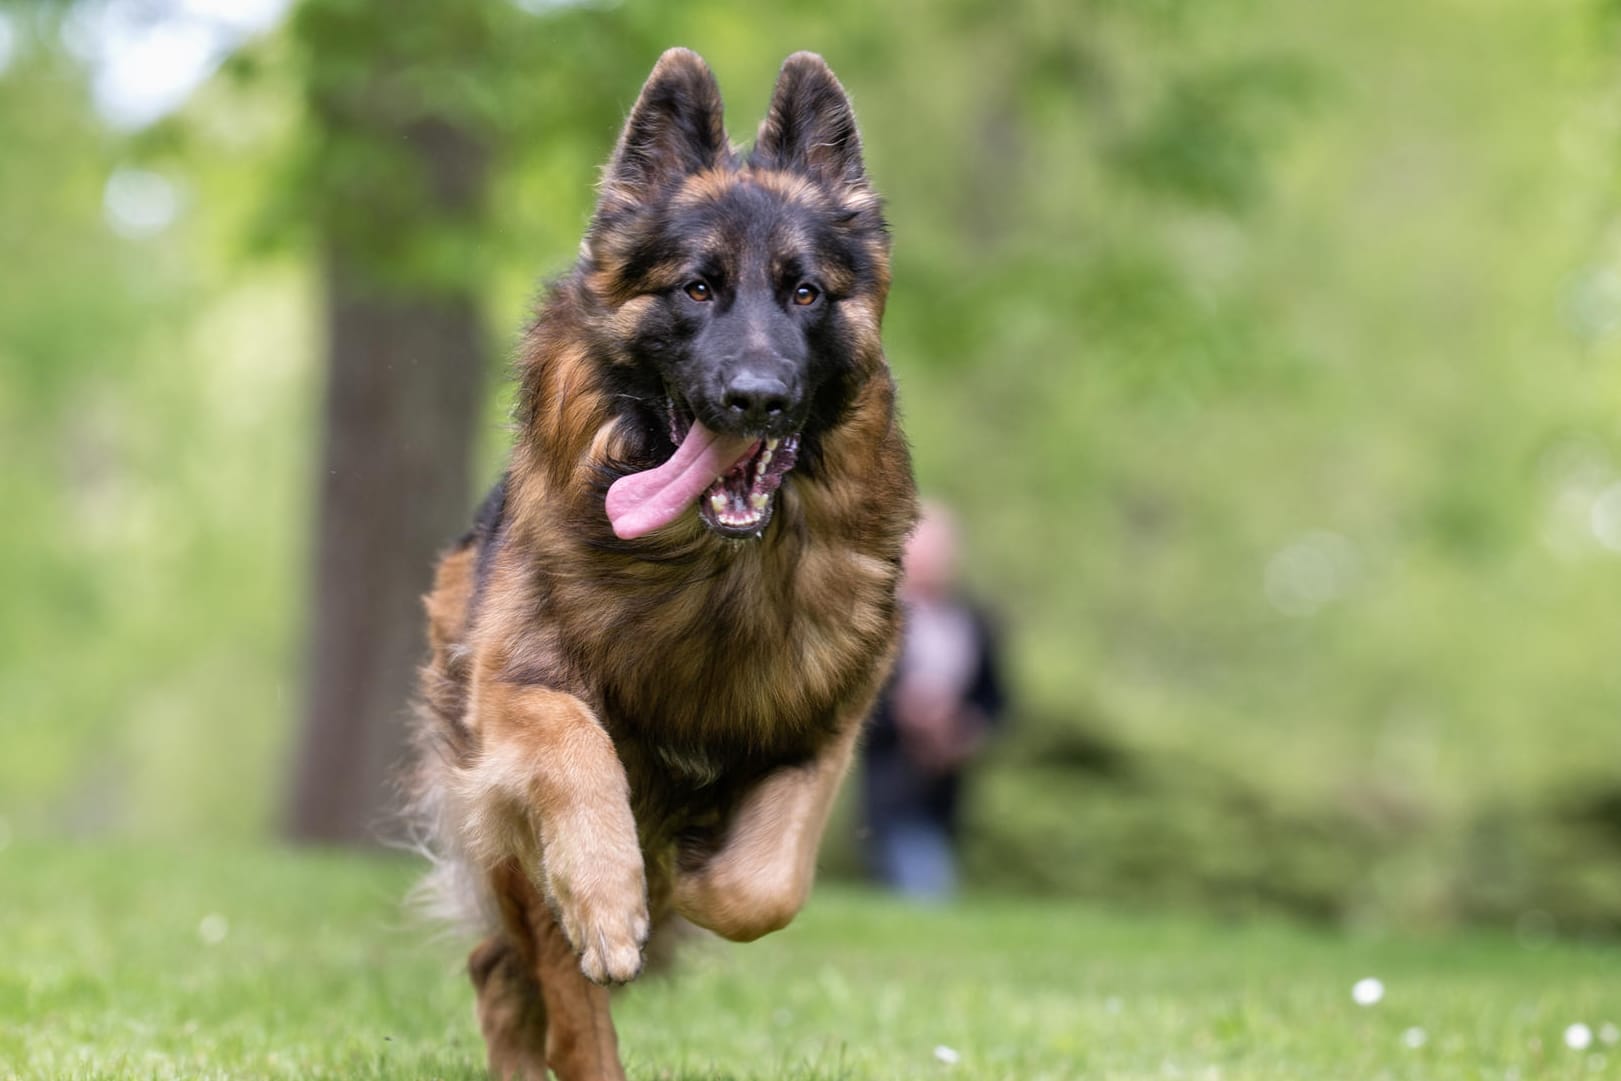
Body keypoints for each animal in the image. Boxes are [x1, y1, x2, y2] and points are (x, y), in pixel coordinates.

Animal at [411, 46, 920, 1076]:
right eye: (696, 288)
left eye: (805, 292)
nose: (756, 398)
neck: (708, 573)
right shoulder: (515, 690)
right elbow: (578, 748)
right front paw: (613, 894)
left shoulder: (824, 725)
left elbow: (765, 885)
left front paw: (686, 874)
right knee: (534, 975)